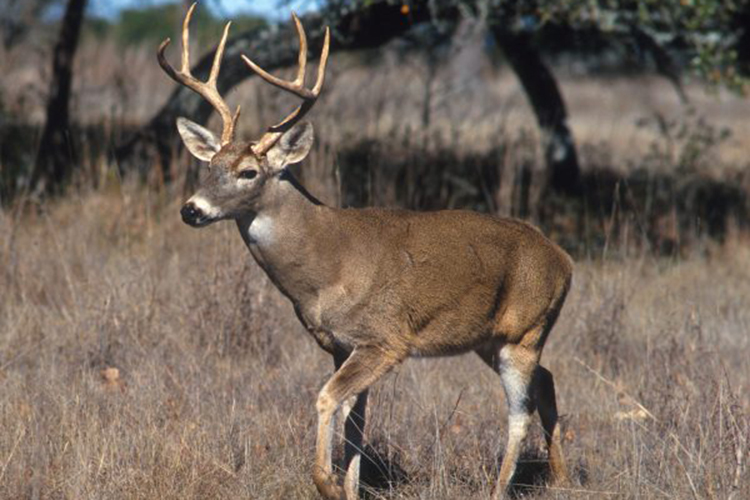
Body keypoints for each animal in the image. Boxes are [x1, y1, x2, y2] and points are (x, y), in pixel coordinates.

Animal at [158, 4, 573, 499]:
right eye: (210, 166)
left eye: (248, 172)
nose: (191, 209)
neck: (325, 268)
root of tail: (565, 260)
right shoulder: (341, 345)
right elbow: (355, 422)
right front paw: (350, 486)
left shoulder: (384, 339)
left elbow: (327, 399)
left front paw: (329, 483)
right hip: (490, 339)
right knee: (546, 382)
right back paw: (561, 477)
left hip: (524, 331)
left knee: (519, 412)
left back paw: (499, 489)